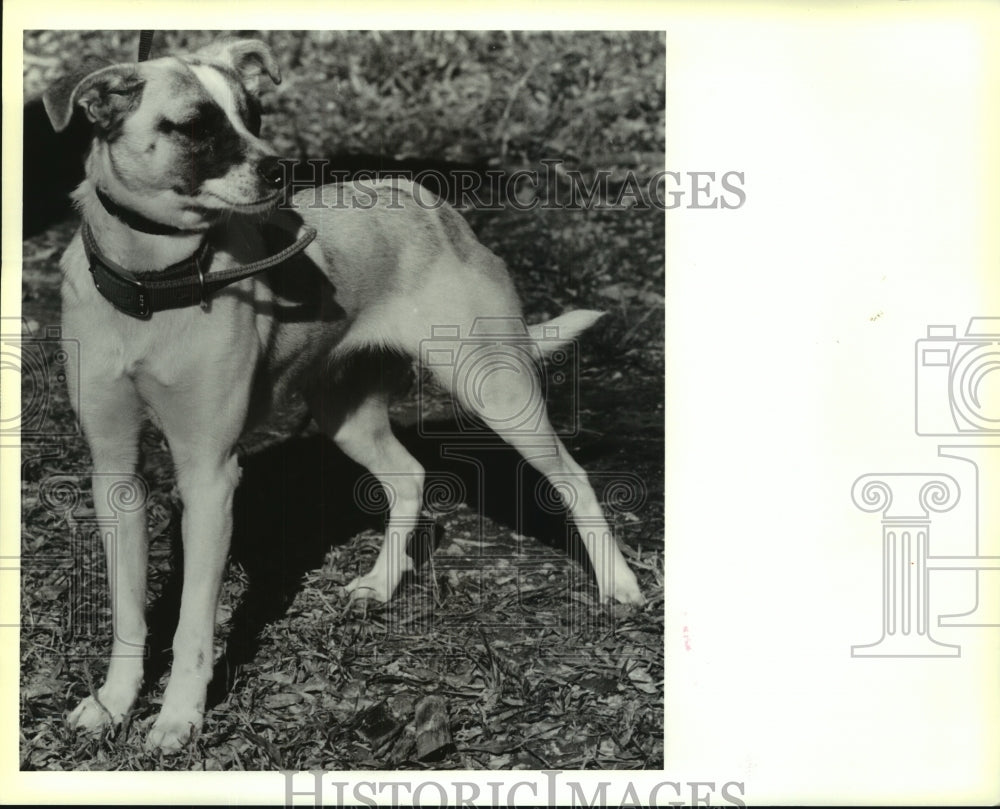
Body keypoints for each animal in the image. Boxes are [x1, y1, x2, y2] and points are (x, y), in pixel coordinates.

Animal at [43, 41, 644, 752]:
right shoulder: (115, 472)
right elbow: (129, 611)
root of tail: (431, 203)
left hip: (493, 388)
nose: (279, 170)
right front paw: (113, 703)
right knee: (409, 478)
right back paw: (382, 583)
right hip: (346, 416)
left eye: (253, 115)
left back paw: (619, 583)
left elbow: (192, 625)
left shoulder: (210, 477)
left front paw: (178, 718)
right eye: (196, 126)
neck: (153, 285)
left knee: (573, 477)